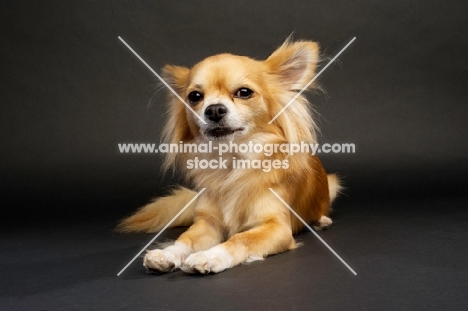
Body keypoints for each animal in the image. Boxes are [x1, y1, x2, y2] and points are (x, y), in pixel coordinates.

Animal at [119, 37, 342, 274]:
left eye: (244, 92)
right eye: (194, 97)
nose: (214, 109)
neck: (231, 162)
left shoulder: (277, 228)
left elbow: (240, 239)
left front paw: (209, 256)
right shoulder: (207, 223)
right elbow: (185, 239)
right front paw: (167, 253)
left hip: (331, 185)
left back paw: (320, 221)